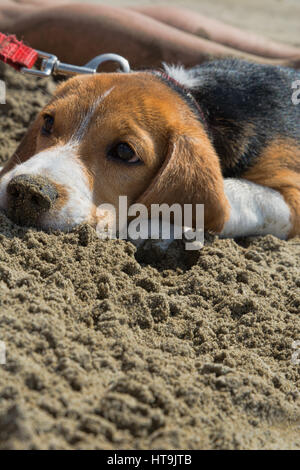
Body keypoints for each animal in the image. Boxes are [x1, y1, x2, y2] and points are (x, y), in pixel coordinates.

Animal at [0, 59, 298, 241]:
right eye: (48, 122)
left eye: (124, 152)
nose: (27, 190)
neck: (199, 101)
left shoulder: (292, 195)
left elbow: (231, 195)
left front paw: (151, 227)